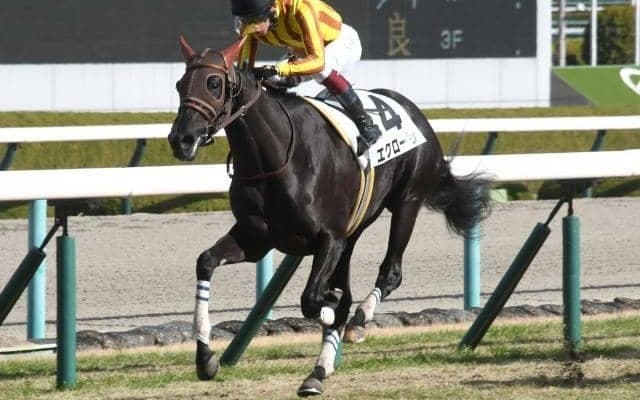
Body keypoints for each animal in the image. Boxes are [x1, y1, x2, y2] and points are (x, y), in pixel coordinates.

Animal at [168, 37, 492, 396]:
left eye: (214, 83)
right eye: (180, 84)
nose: (181, 140)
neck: (275, 156)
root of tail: (415, 113)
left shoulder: (329, 238)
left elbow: (315, 301)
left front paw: (337, 315)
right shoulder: (256, 239)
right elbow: (206, 262)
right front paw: (205, 358)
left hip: (406, 202)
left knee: (390, 273)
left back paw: (356, 325)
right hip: (354, 229)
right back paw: (319, 370)